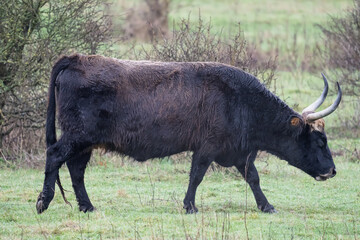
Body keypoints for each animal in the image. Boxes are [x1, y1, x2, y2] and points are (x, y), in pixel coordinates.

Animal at [35, 54, 342, 214]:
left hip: (86, 142)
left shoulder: (240, 153)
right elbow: (197, 175)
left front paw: (266, 206)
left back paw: (87, 206)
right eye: (320, 141)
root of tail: (76, 59)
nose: (332, 171)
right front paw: (190, 206)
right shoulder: (207, 147)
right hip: (76, 136)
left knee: (76, 170)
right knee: (54, 155)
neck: (242, 100)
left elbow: (252, 178)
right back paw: (44, 201)